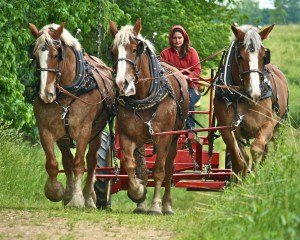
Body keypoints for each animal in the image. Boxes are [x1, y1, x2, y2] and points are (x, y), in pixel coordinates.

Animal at [28, 23, 114, 208]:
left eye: (56, 55)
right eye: (35, 55)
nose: (46, 94)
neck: (68, 92)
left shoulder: (84, 131)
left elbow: (79, 164)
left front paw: (77, 199)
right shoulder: (45, 130)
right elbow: (54, 164)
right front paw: (56, 192)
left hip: (97, 134)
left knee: (92, 162)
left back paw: (89, 197)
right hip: (64, 138)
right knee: (67, 162)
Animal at [109, 17, 189, 215]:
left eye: (135, 49)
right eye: (113, 51)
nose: (122, 83)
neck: (144, 97)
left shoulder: (162, 137)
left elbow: (159, 170)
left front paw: (155, 206)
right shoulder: (127, 136)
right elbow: (131, 165)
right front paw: (138, 193)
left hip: (174, 137)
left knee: (169, 168)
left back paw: (167, 205)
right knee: (143, 168)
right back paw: (142, 203)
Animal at [213, 24, 288, 176]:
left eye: (264, 56)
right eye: (240, 56)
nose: (255, 93)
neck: (243, 97)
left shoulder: (270, 123)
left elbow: (256, 148)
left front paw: (255, 175)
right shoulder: (227, 129)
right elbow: (239, 160)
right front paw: (243, 178)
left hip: (279, 126)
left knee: (270, 149)